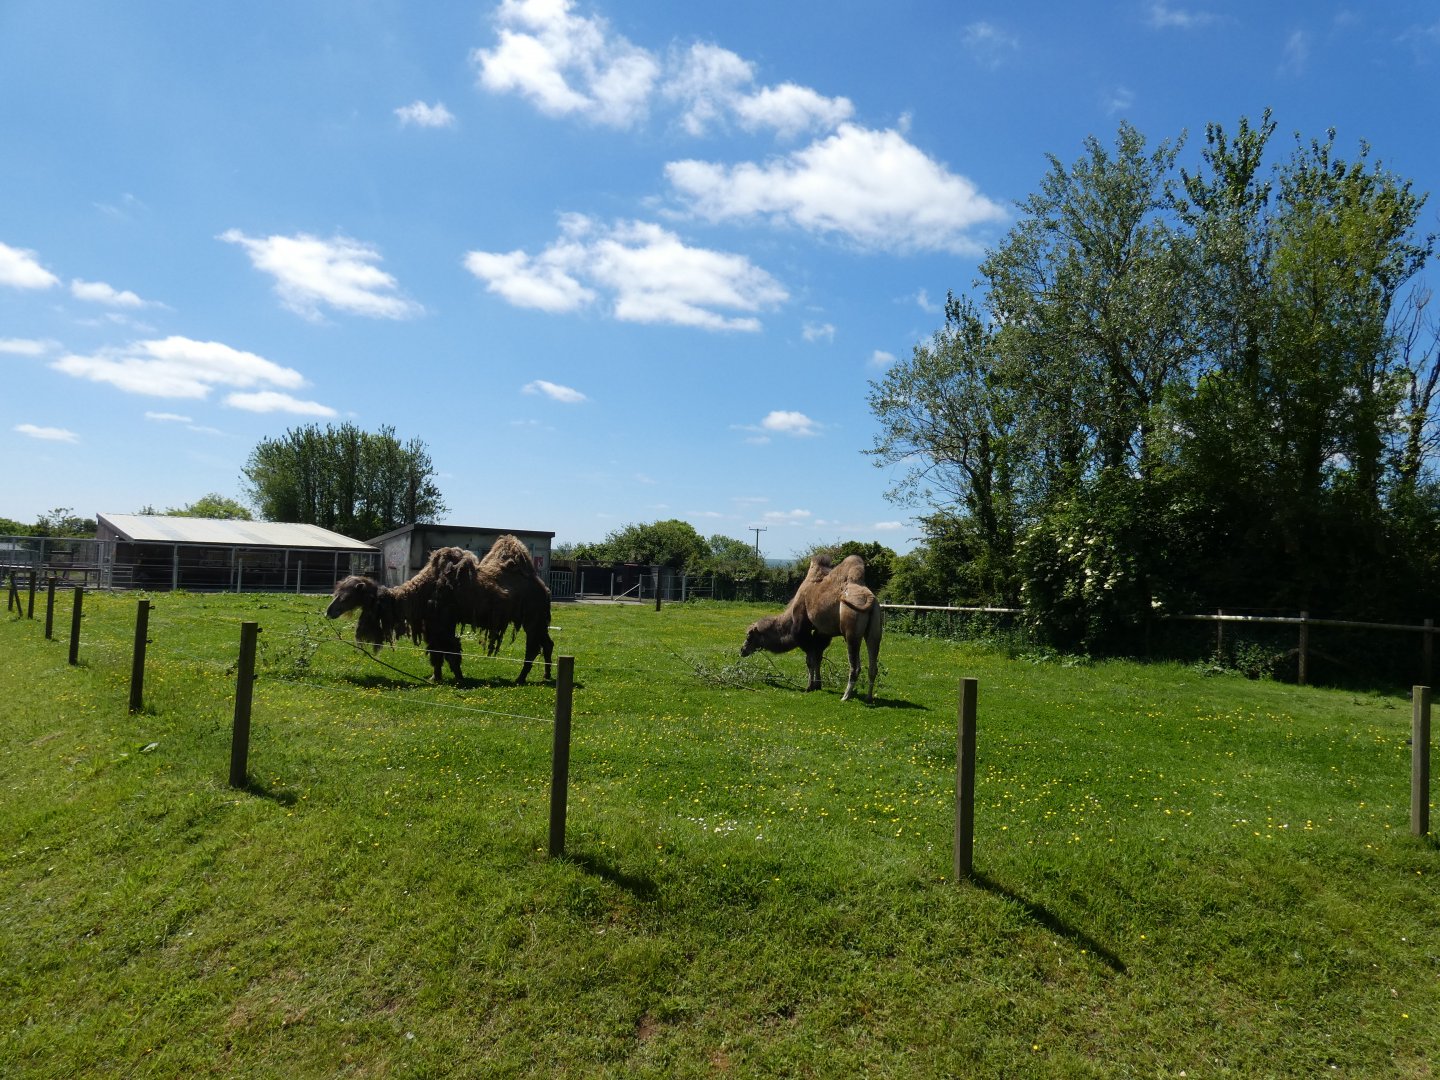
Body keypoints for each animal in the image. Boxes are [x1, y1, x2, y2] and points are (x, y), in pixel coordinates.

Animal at [326, 537, 553, 685]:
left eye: (345, 596)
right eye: (337, 592)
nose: (329, 611)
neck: (418, 594)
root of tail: (543, 587)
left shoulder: (443, 623)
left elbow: (451, 651)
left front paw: (459, 678)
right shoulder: (431, 625)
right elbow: (436, 652)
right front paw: (435, 677)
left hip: (533, 617)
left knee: (533, 647)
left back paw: (521, 678)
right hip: (537, 619)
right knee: (547, 644)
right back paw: (546, 675)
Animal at [739, 553, 883, 703]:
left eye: (749, 637)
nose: (742, 650)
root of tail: (870, 599)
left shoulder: (802, 631)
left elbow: (810, 660)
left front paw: (809, 687)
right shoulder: (822, 633)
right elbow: (818, 657)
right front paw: (817, 685)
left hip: (851, 630)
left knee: (855, 666)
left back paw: (845, 696)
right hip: (875, 629)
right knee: (873, 664)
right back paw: (868, 697)